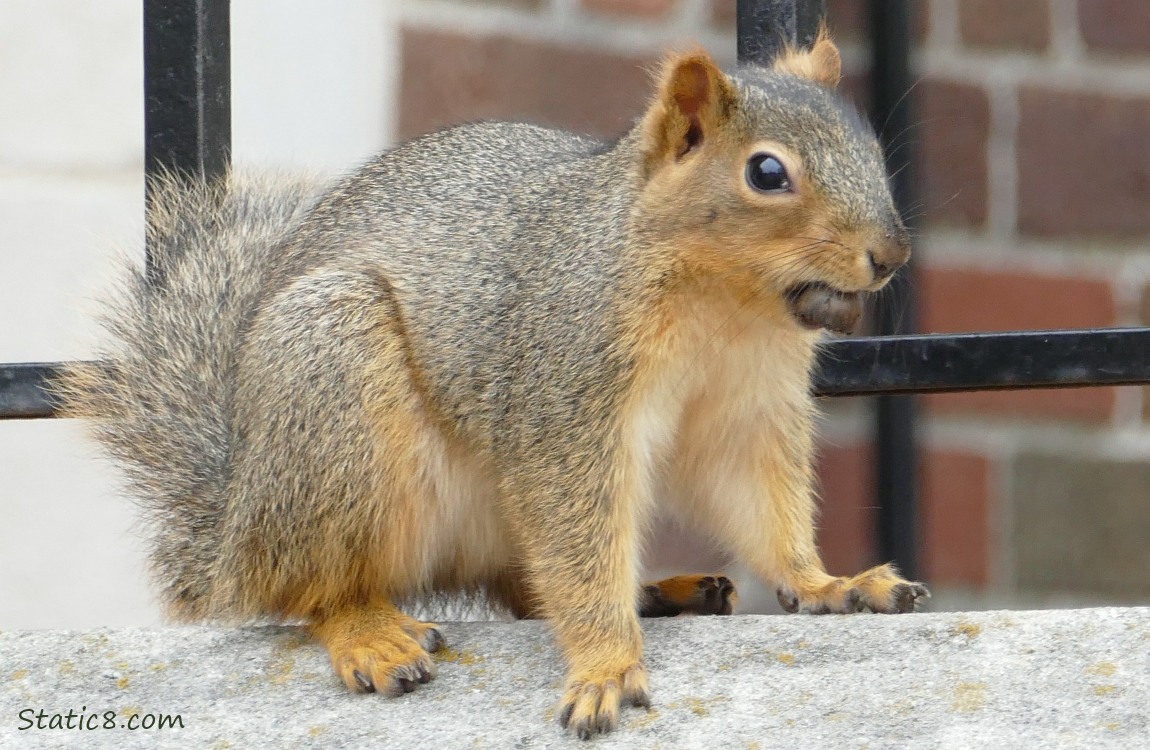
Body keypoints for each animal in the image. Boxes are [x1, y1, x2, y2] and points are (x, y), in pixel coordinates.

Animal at [58, 32, 929, 740]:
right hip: (333, 388)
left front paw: (829, 583)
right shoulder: (566, 393)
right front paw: (605, 666)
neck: (726, 303)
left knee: (523, 590)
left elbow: (761, 508)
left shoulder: (745, 411)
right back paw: (369, 632)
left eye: (870, 144)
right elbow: (577, 531)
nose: (891, 254)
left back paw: (660, 591)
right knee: (312, 587)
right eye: (767, 172)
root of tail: (233, 525)